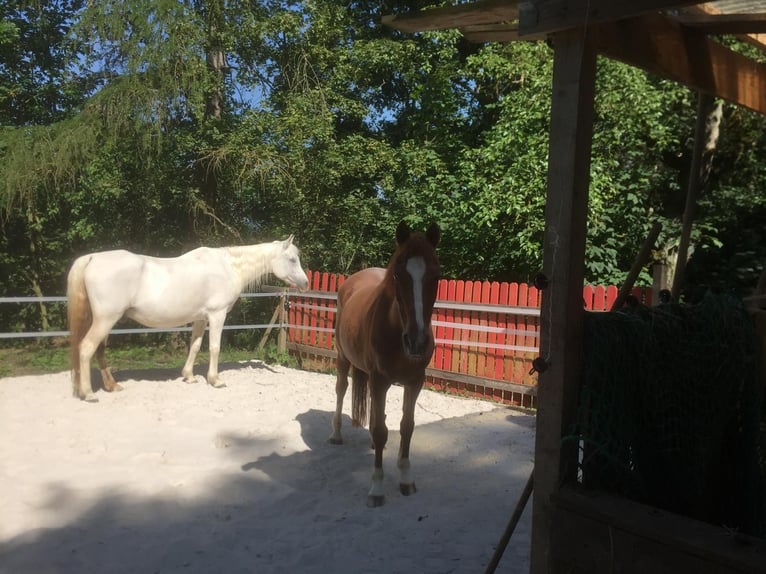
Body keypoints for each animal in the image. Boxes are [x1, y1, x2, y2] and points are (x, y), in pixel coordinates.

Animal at [67, 236, 309, 402]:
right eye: (291, 259)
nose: (306, 283)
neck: (229, 267)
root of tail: (92, 258)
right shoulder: (217, 315)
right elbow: (214, 348)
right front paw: (215, 380)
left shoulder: (200, 319)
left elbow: (195, 346)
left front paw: (189, 376)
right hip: (106, 319)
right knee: (87, 348)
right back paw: (89, 393)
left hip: (104, 320)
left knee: (98, 351)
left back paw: (110, 386)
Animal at [329, 221, 440, 507]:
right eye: (398, 275)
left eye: (436, 275)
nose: (416, 341)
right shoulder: (379, 380)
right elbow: (380, 429)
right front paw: (377, 488)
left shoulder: (415, 382)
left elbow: (406, 427)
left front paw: (406, 479)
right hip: (343, 358)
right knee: (341, 390)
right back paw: (336, 435)